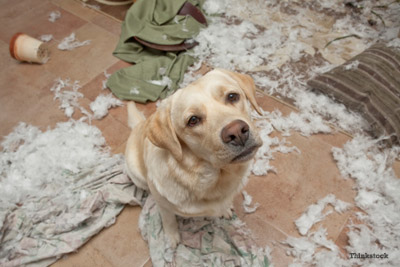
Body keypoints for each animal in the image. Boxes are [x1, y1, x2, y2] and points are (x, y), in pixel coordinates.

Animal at [126, 69, 262, 249]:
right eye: (193, 120)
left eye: (232, 96)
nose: (237, 132)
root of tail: (140, 125)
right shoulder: (164, 206)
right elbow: (168, 220)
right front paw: (171, 237)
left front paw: (225, 209)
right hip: (136, 173)